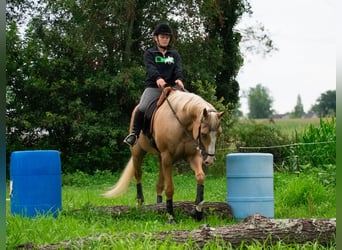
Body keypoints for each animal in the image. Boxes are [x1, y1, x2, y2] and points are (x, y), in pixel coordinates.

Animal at [104, 88, 224, 223]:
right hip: (138, 152)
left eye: (219, 133)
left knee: (159, 184)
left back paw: (159, 205)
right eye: (203, 133)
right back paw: (140, 201)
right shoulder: (167, 157)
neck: (182, 122)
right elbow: (170, 188)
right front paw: (170, 217)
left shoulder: (193, 156)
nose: (209, 160)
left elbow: (200, 177)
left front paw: (197, 213)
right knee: (138, 174)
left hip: (160, 158)